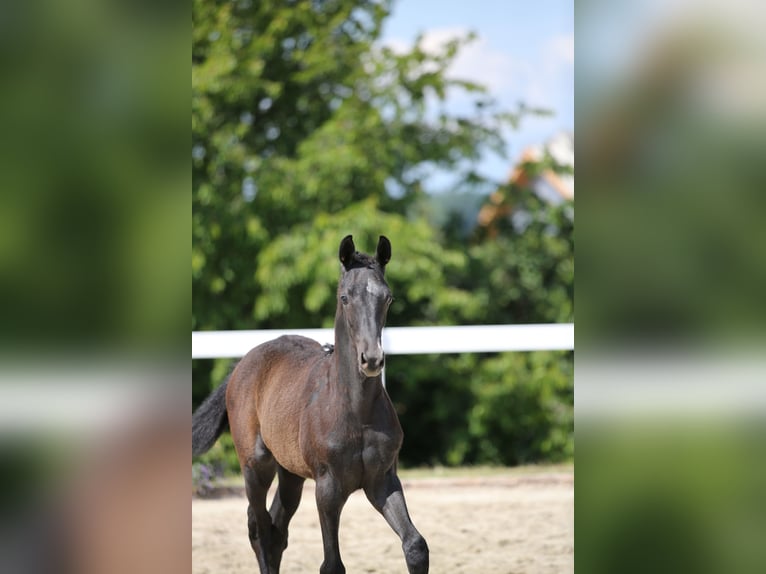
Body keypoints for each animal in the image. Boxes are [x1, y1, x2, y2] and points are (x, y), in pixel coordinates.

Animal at [192, 235, 428, 574]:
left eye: (388, 298)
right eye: (345, 297)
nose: (371, 360)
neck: (355, 410)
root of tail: (243, 363)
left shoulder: (382, 480)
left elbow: (415, 546)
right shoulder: (327, 487)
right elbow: (332, 565)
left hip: (290, 472)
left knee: (277, 528)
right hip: (255, 466)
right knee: (261, 530)